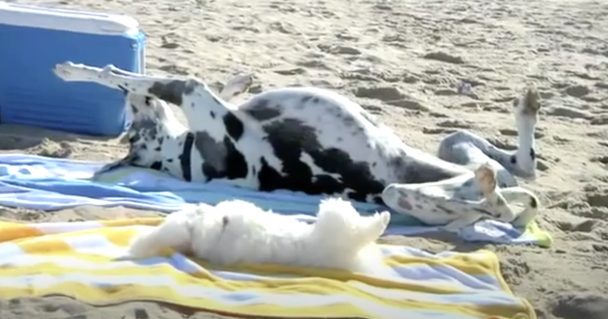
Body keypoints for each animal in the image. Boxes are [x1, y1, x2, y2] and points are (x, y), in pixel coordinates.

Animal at [53, 62, 540, 232]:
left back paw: (524, 115)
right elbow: (119, 74)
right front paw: (74, 69)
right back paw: (493, 184)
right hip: (401, 193)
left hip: (449, 150)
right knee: (501, 198)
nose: (135, 110)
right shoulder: (190, 89)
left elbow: (133, 76)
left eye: (136, 125)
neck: (185, 155)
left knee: (515, 173)